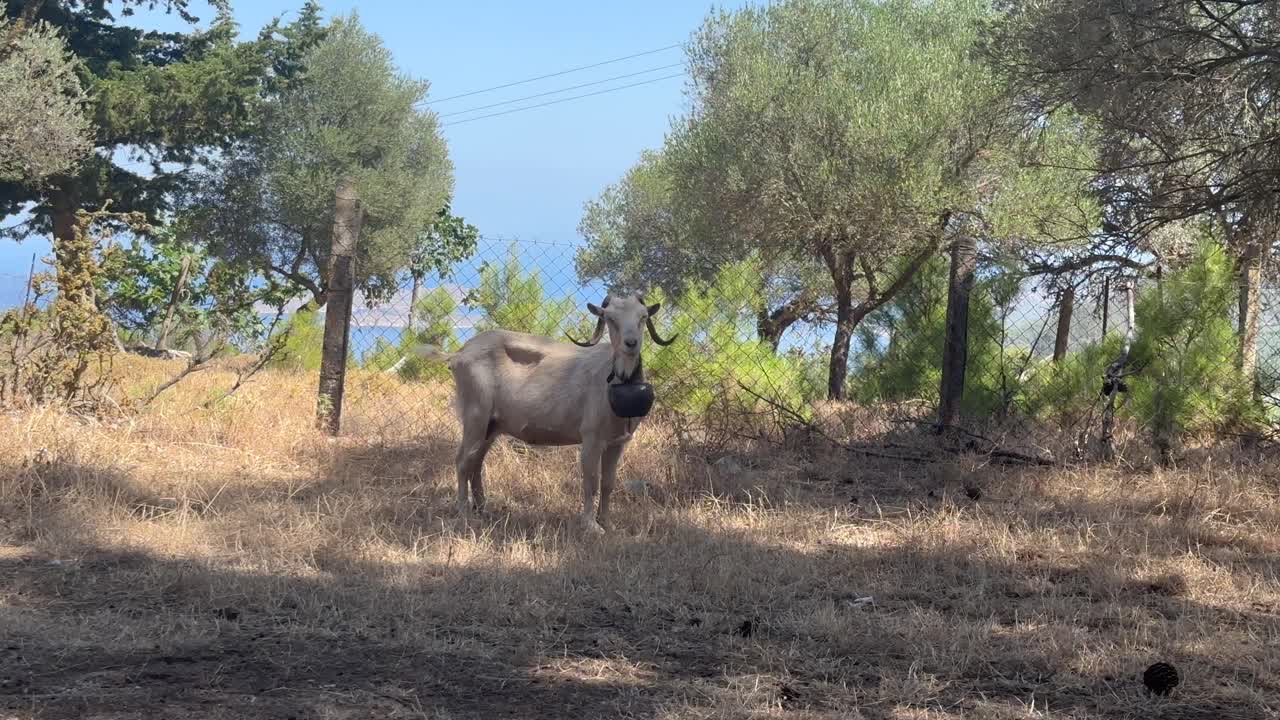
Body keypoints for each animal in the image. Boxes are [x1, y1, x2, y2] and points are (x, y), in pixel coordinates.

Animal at [413, 292, 676, 534]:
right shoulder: (591, 438)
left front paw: (608, 524)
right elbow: (591, 481)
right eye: (610, 318)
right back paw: (464, 512)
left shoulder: (617, 442)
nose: (631, 343)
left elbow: (609, 483)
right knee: (462, 461)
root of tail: (459, 354)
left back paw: (483, 509)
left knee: (476, 462)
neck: (613, 377)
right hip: (475, 415)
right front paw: (591, 526)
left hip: (491, 426)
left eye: (643, 317)